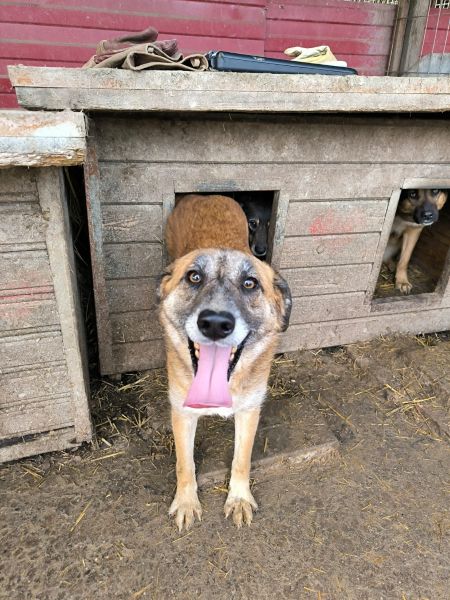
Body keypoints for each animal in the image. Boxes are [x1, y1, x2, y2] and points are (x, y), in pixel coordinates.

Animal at [159, 194, 291, 531]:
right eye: (194, 277)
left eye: (250, 283)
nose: (216, 324)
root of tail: (204, 195)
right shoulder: (182, 412)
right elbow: (184, 464)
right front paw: (186, 502)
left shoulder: (249, 410)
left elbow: (241, 460)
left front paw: (239, 498)